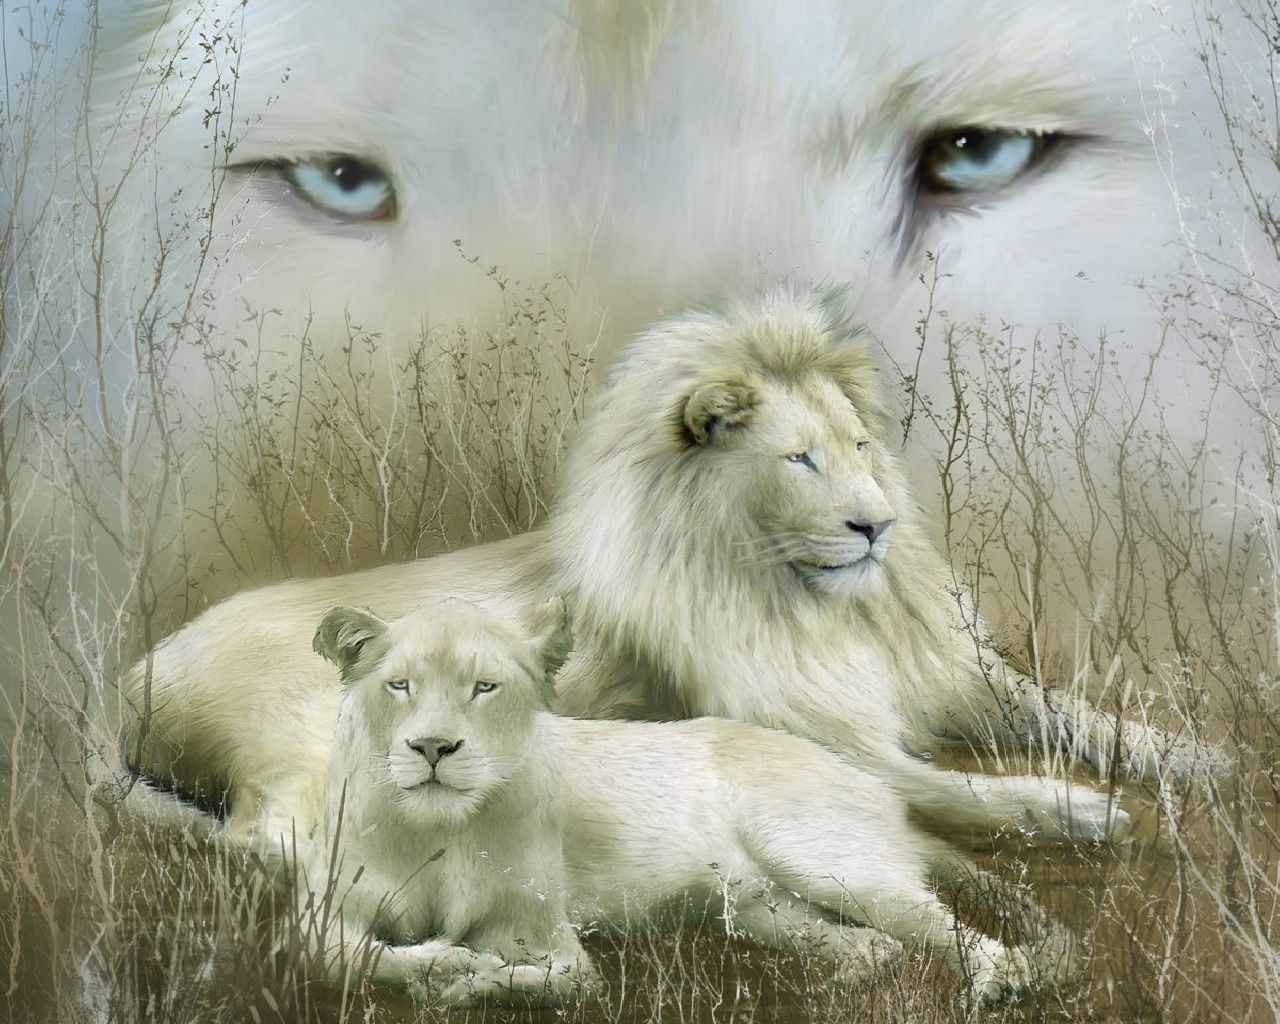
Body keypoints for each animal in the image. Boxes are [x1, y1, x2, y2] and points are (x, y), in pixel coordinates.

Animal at [302, 596, 1060, 1007]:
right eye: (399, 685)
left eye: (484, 688)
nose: (433, 747)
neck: (439, 831)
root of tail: (871, 784)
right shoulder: (323, 914)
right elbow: (342, 955)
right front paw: (441, 963)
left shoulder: (551, 939)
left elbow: (556, 979)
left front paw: (467, 974)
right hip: (760, 908)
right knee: (873, 946)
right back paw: (835, 982)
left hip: (830, 863)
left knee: (970, 938)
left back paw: (994, 988)